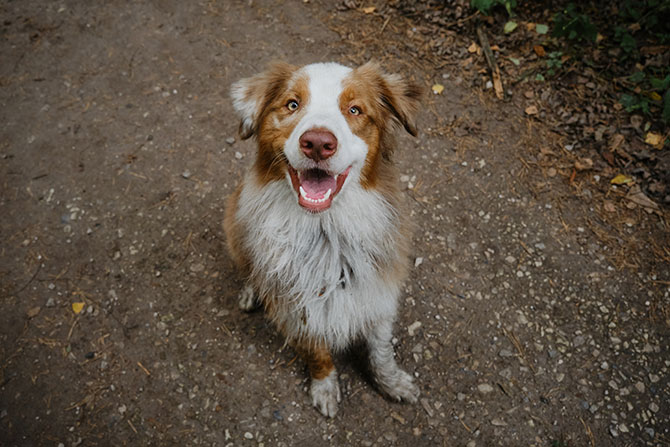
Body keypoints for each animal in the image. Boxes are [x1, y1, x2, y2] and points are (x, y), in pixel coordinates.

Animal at [228, 61, 422, 418]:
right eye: (292, 104)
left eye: (354, 109)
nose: (317, 143)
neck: (326, 233)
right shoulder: (299, 307)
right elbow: (317, 353)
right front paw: (325, 388)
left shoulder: (378, 291)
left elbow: (380, 349)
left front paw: (392, 383)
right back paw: (252, 290)